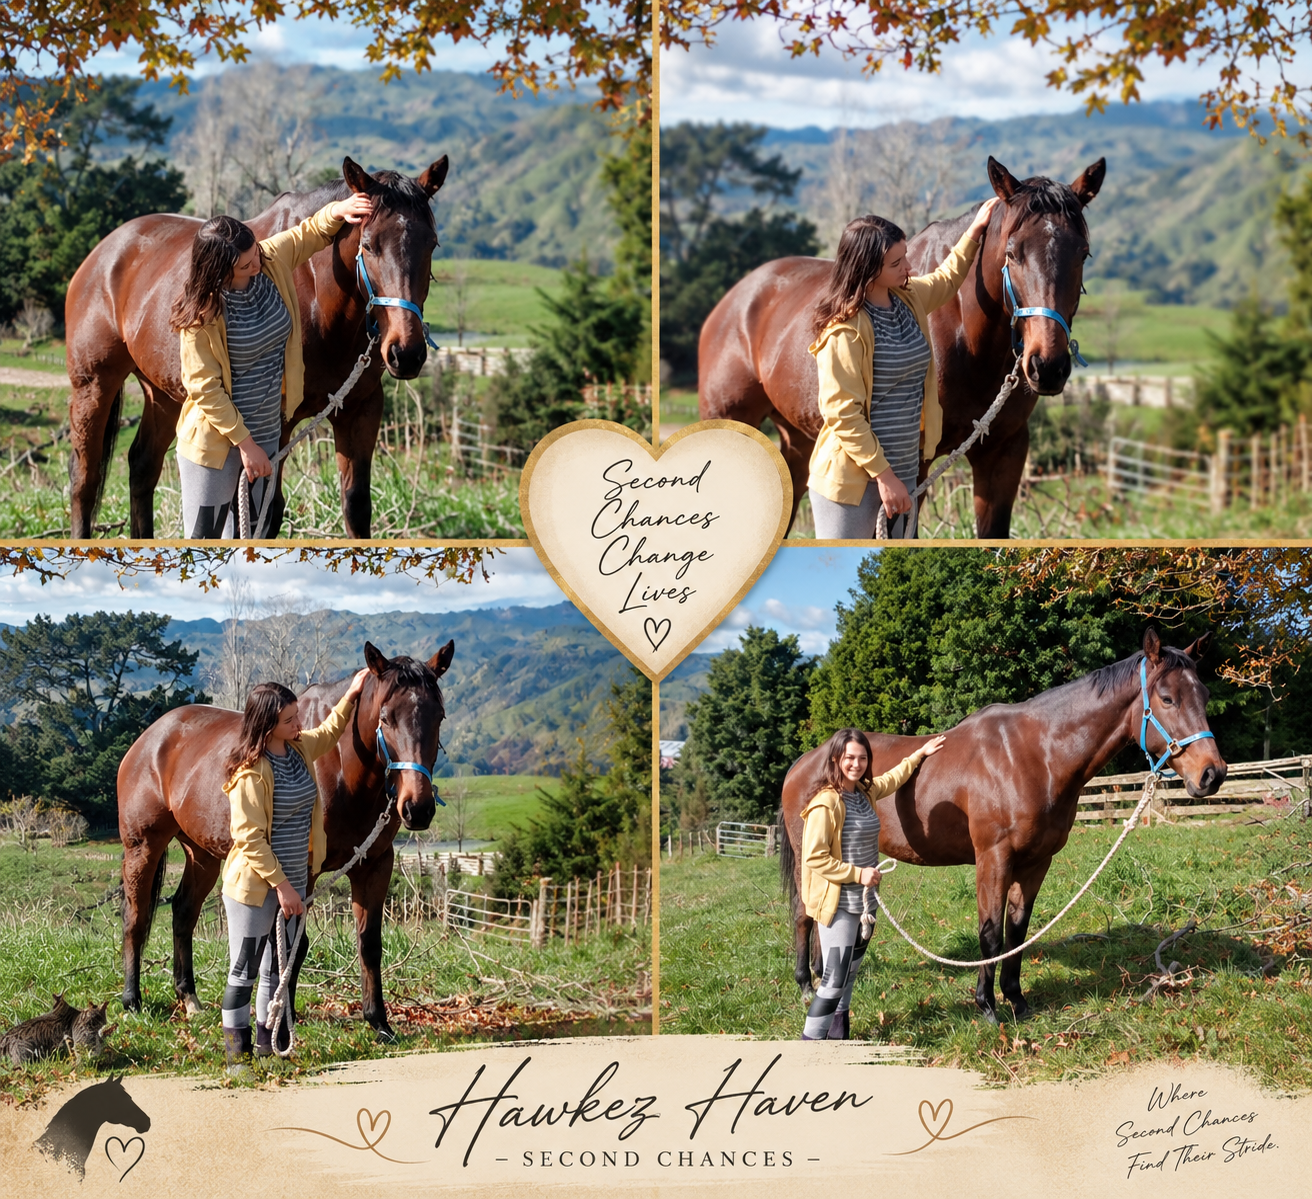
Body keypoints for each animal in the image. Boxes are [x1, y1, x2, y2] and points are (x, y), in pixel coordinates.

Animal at [63, 154, 448, 539]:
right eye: (368, 245)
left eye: (431, 244)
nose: (406, 353)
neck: (318, 294)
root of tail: (103, 253)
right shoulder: (275, 425)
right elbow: (264, 515)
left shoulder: (360, 410)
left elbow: (355, 506)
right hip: (93, 386)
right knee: (85, 478)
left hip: (164, 393)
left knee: (142, 467)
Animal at [116, 639, 454, 1040]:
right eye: (385, 718)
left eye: (439, 716)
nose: (418, 808)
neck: (341, 765)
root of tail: (150, 737)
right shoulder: (302, 868)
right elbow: (294, 944)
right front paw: (282, 1025)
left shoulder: (374, 863)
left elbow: (369, 942)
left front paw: (379, 1022)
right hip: (143, 847)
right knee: (136, 918)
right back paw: (132, 1001)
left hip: (203, 854)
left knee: (183, 912)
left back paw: (190, 1000)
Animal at [698, 156, 1105, 538]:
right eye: (1012, 252)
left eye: (1083, 253)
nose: (1047, 367)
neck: (963, 334)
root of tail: (733, 300)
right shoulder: (914, 467)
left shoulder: (1004, 451)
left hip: (796, 440)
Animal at [778, 629, 1227, 1025]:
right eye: (1167, 698)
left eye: (1203, 695)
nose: (1213, 774)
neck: (1034, 755)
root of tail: (805, 762)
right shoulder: (993, 858)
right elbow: (991, 934)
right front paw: (988, 1006)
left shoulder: (1036, 863)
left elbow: (1018, 930)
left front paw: (1017, 1000)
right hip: (809, 855)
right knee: (803, 913)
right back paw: (806, 985)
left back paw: (821, 975)